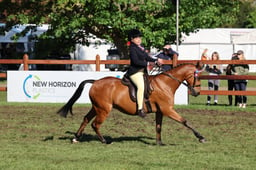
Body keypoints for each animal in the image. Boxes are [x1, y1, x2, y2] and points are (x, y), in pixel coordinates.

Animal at [57, 61, 206, 144]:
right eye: (198, 77)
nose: (197, 93)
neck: (165, 84)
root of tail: (95, 82)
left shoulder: (160, 111)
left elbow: (158, 127)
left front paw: (159, 142)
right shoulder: (167, 110)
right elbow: (185, 121)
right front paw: (200, 137)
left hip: (96, 107)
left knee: (86, 119)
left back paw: (76, 138)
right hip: (104, 109)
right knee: (95, 124)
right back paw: (104, 141)